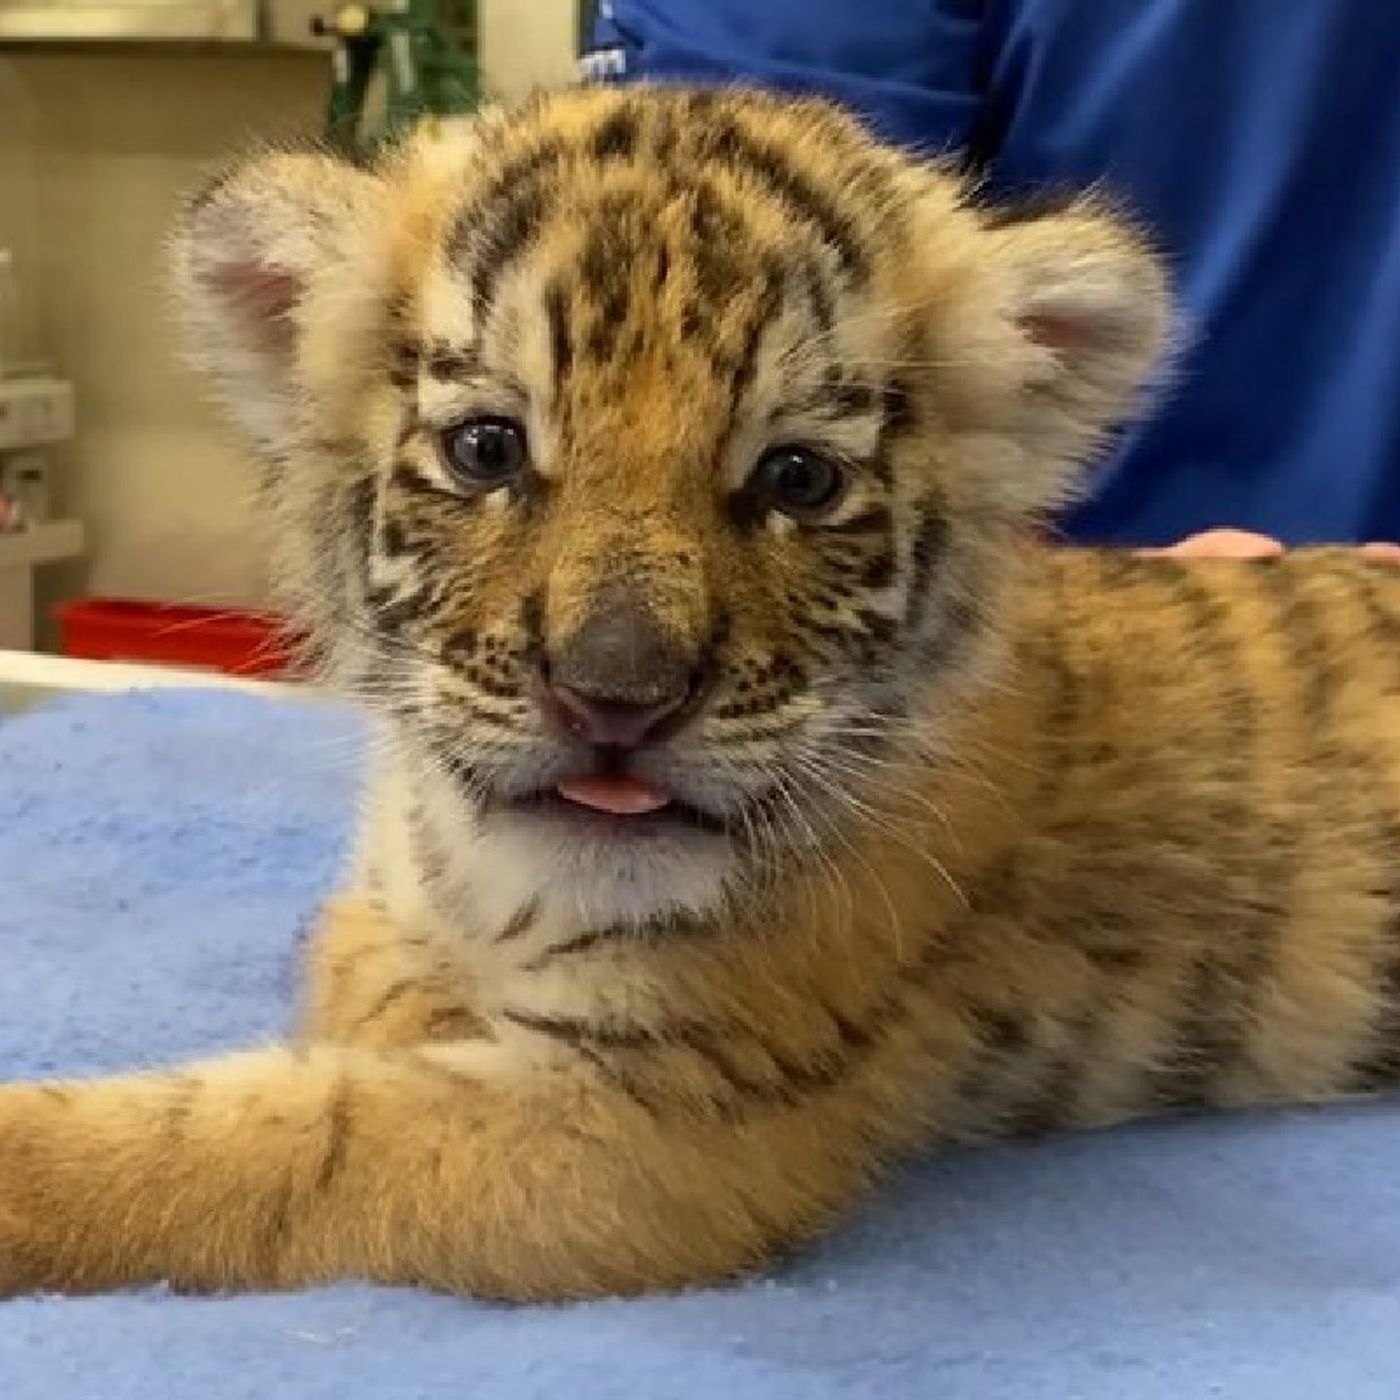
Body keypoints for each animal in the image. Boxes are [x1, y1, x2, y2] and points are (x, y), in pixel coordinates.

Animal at [0, 84, 1395, 1302]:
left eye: (796, 479)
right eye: (488, 449)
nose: (616, 694)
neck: (480, 869)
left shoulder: (649, 1125)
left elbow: (268, 1146)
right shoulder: (399, 915)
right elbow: (360, 982)